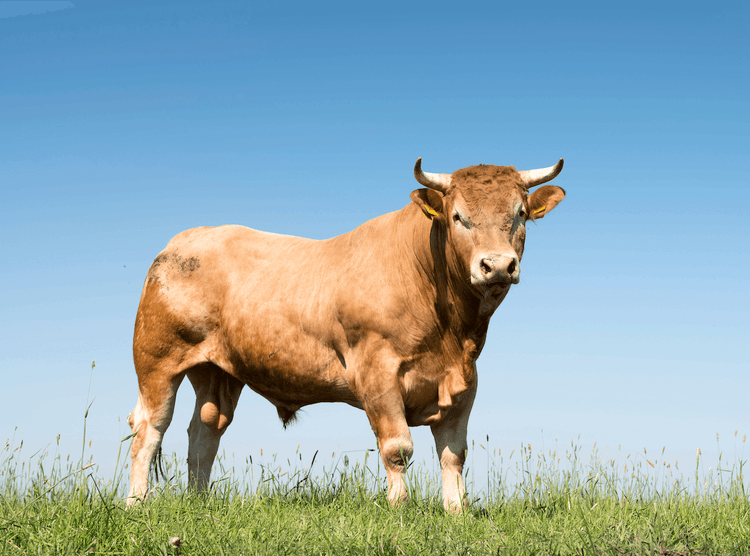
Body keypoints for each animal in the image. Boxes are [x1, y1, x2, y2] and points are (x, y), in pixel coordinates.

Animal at [126, 157, 566, 512]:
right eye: (458, 216)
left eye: (520, 213)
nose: (498, 265)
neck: (452, 334)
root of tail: (186, 238)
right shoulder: (377, 373)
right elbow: (397, 448)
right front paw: (399, 508)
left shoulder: (464, 383)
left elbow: (453, 454)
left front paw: (456, 513)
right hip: (157, 360)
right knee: (149, 428)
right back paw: (136, 503)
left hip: (218, 371)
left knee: (204, 433)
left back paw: (198, 503)